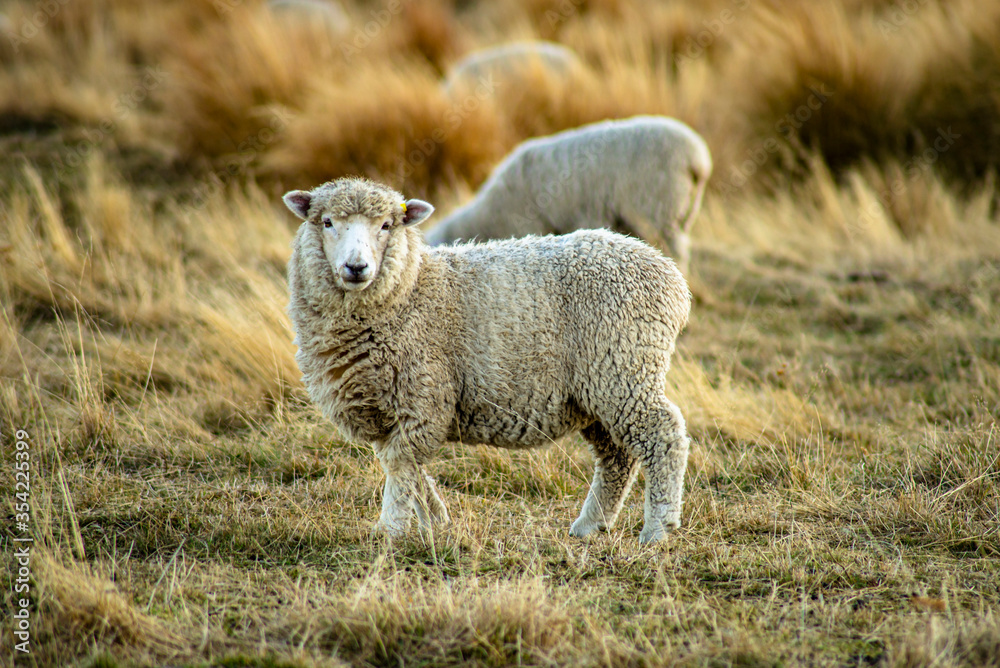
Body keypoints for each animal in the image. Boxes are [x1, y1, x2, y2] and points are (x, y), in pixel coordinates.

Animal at [284, 176, 692, 544]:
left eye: (386, 225)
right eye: (327, 222)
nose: (357, 267)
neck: (411, 288)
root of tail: (671, 275)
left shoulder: (423, 397)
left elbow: (402, 467)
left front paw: (390, 530)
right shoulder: (385, 408)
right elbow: (403, 465)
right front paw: (435, 519)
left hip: (623, 367)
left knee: (663, 434)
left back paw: (658, 527)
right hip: (596, 390)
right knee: (616, 458)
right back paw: (591, 525)